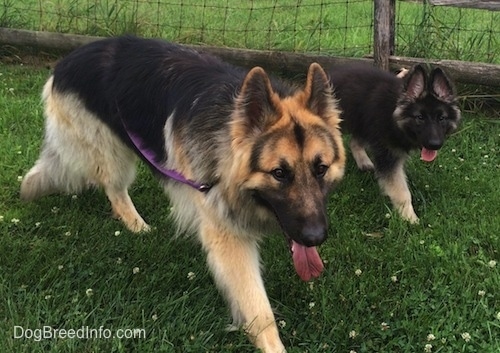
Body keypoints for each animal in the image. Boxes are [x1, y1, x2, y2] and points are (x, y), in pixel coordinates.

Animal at [21, 36, 346, 352]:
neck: (226, 137)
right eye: (279, 173)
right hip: (114, 154)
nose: (316, 237)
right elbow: (259, 310)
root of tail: (68, 60)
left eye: (320, 169)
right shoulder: (227, 238)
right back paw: (136, 224)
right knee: (113, 188)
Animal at [328, 63, 460, 223]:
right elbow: (402, 192)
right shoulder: (389, 157)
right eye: (420, 117)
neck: (394, 114)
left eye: (442, 118)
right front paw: (410, 219)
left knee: (354, 141)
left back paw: (364, 162)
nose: (434, 145)